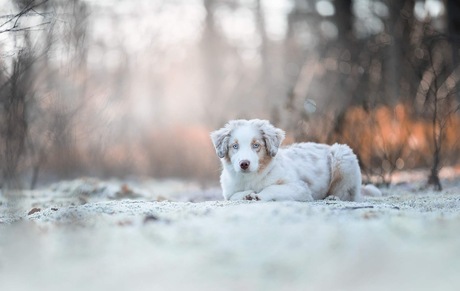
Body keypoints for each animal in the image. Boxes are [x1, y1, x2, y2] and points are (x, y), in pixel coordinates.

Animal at [210, 120, 380, 202]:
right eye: (235, 146)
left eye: (256, 145)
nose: (244, 164)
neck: (251, 178)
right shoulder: (228, 191)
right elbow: (234, 195)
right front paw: (247, 194)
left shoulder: (300, 188)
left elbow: (272, 188)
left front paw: (258, 195)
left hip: (343, 157)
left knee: (347, 194)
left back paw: (333, 197)